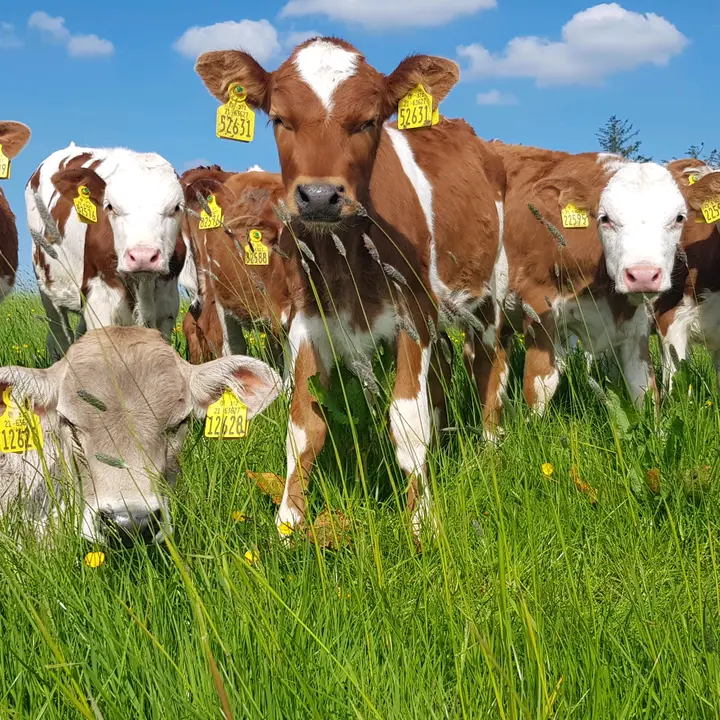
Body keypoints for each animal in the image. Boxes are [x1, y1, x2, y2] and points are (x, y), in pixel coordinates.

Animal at [26, 144, 186, 360]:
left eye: (177, 207)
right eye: (110, 206)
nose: (143, 256)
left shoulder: (167, 305)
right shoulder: (99, 297)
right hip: (47, 287)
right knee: (58, 336)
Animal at [194, 37, 508, 538]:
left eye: (368, 121)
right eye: (279, 118)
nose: (320, 196)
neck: (347, 258)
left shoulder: (413, 313)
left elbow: (407, 419)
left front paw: (422, 521)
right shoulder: (307, 322)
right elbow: (303, 426)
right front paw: (288, 524)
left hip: (489, 291)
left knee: (488, 363)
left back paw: (490, 446)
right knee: (443, 373)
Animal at [489, 142, 688, 412]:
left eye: (679, 218)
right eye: (605, 218)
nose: (643, 275)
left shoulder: (635, 322)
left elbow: (643, 388)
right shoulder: (539, 306)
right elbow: (540, 386)